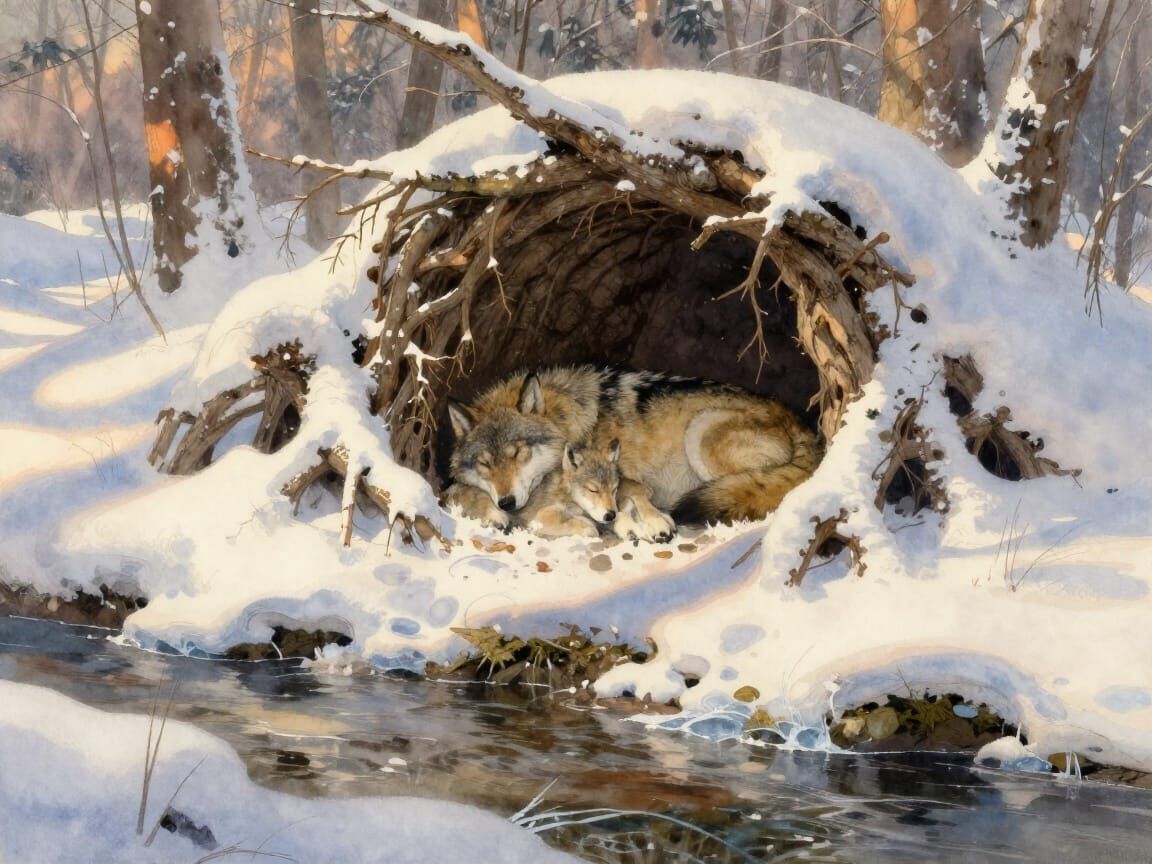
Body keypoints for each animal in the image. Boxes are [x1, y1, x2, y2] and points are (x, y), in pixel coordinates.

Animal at [444, 366, 819, 540]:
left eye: (518, 453)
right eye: (485, 463)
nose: (507, 502)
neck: (572, 422)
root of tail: (805, 424)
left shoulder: (620, 470)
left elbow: (629, 492)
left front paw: (645, 522)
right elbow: (455, 489)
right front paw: (490, 512)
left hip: (700, 432)